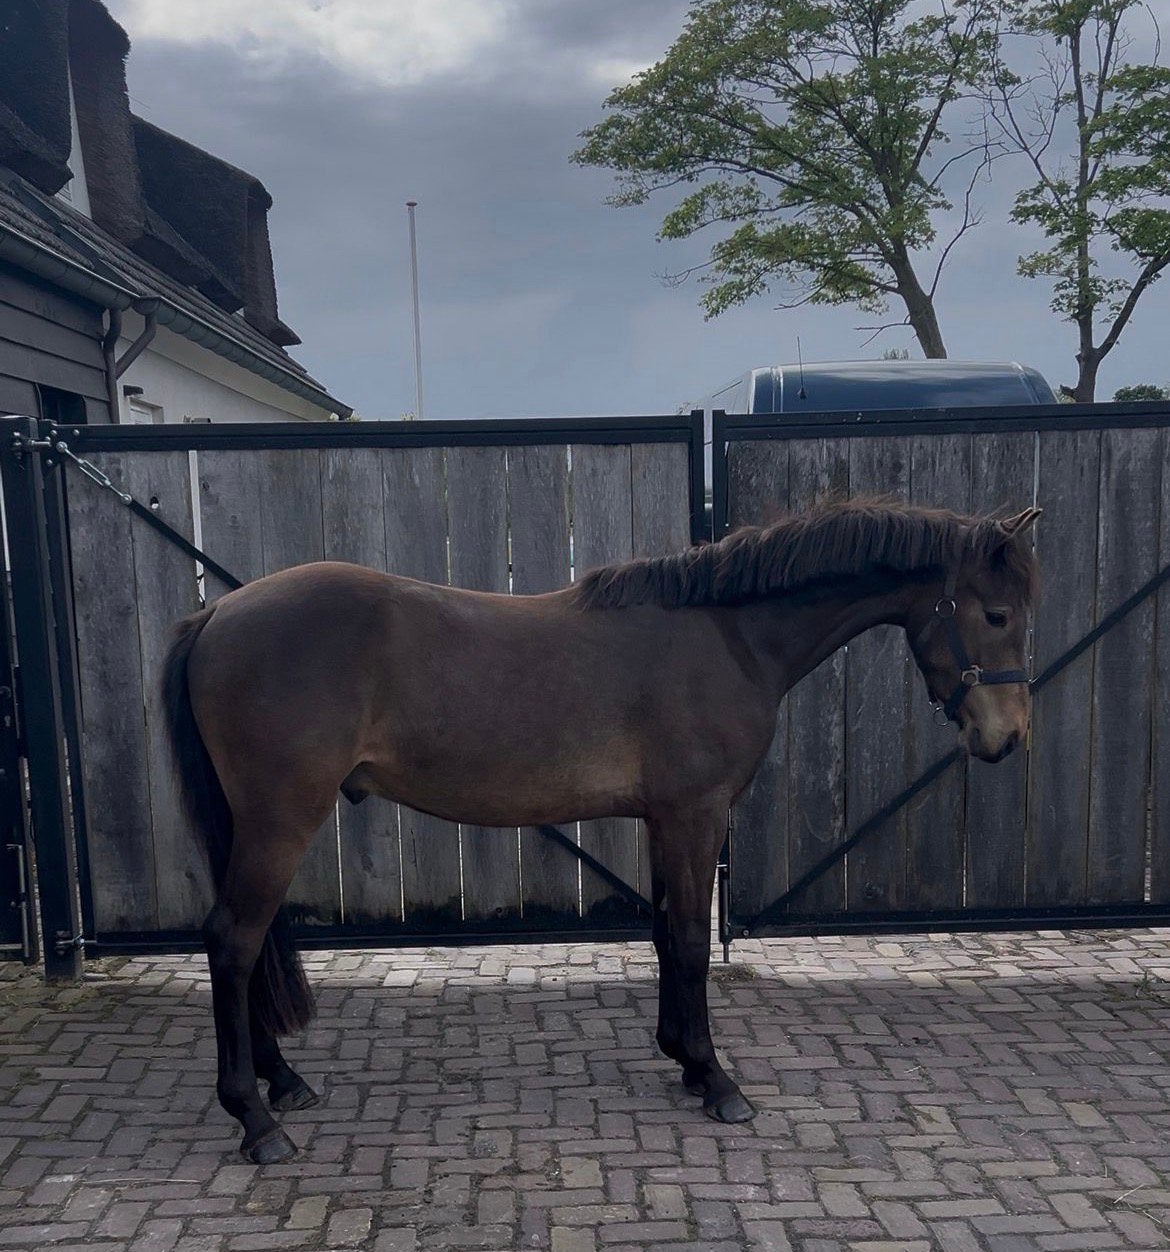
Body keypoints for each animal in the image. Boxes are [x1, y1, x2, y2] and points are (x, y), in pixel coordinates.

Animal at [161, 498, 1040, 1163]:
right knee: (233, 942)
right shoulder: (697, 813)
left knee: (247, 943)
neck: (729, 636)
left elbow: (664, 933)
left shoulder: (662, 819)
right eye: (996, 614)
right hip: (281, 817)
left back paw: (283, 1083)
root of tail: (218, 610)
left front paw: (682, 1057)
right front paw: (717, 1081)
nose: (1008, 738)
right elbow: (690, 940)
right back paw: (256, 1120)